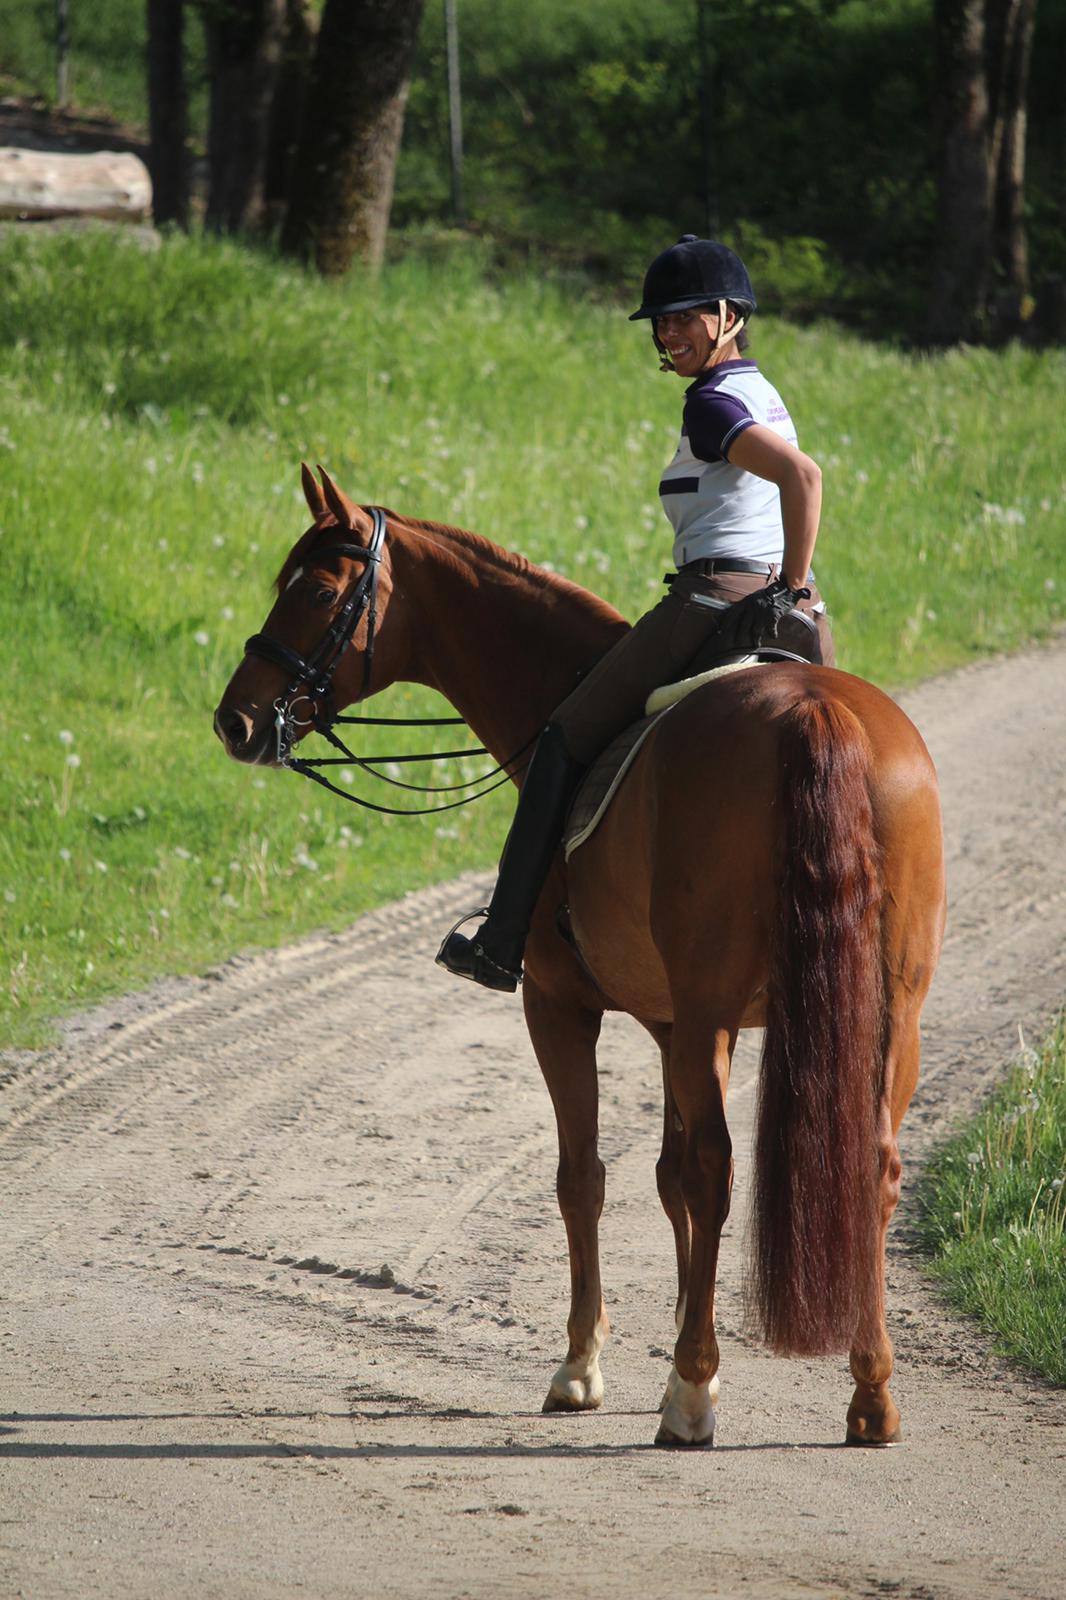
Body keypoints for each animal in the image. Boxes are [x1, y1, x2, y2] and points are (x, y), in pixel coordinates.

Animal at [214, 465, 946, 1449]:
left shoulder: (567, 1007)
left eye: (321, 593)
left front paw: (589, 1366)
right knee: (869, 1166)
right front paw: (677, 1354)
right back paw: (869, 1395)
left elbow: (585, 1177)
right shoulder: (681, 1026)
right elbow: (666, 1179)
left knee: (717, 1170)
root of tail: (816, 711)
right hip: (887, 1009)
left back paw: (690, 1401)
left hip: (710, 1007)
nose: (238, 721)